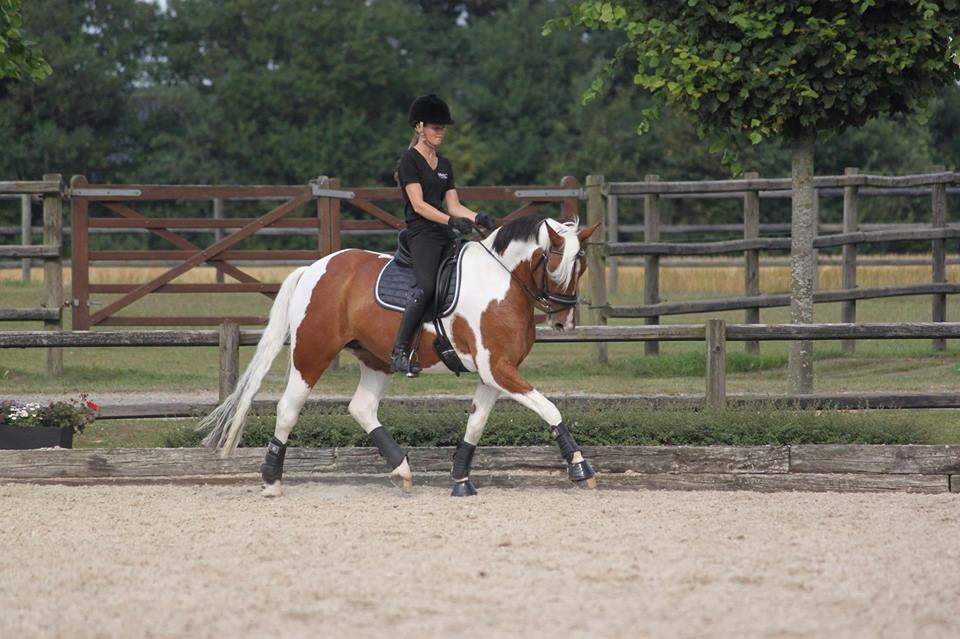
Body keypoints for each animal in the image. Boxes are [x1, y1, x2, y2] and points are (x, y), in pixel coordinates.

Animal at [199, 214, 600, 497]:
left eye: (582, 266)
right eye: (555, 264)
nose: (563, 321)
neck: (502, 282)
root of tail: (315, 268)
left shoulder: (495, 371)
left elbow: (476, 422)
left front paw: (460, 479)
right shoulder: (498, 369)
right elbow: (550, 408)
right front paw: (580, 468)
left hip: (376, 359)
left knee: (361, 408)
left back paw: (402, 470)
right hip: (312, 352)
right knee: (288, 408)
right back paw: (271, 480)